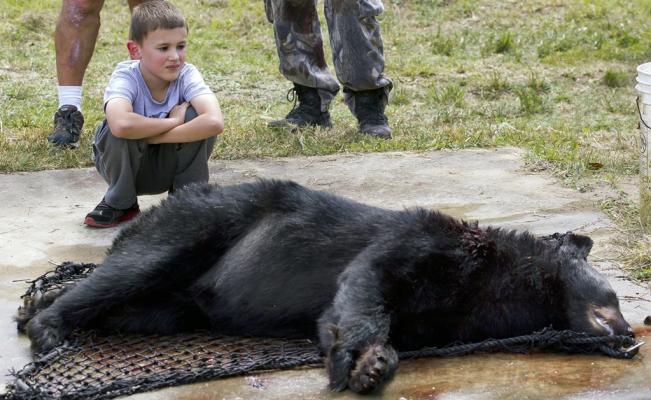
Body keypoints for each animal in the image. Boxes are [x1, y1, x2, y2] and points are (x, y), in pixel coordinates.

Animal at [18, 179, 634, 393]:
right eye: (616, 298)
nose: (630, 334)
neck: (499, 282)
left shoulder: (451, 313)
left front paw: (374, 364)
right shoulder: (420, 240)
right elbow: (363, 285)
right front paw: (355, 362)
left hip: (173, 306)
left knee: (134, 304)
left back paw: (41, 305)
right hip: (198, 225)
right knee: (132, 268)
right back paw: (45, 323)